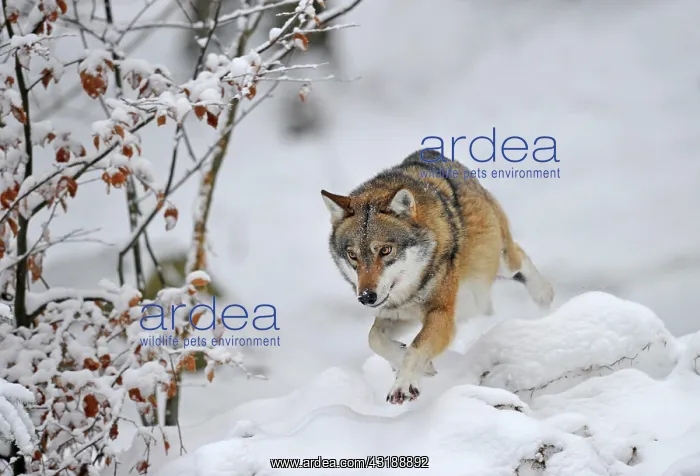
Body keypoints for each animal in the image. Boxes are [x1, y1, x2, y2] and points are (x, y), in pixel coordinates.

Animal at [320, 150, 554, 404]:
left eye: (385, 250)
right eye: (352, 255)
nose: (366, 297)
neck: (412, 288)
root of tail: (432, 152)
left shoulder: (441, 314)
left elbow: (416, 347)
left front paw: (403, 384)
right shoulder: (399, 313)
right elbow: (374, 338)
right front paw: (418, 365)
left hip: (500, 262)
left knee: (520, 257)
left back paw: (545, 295)